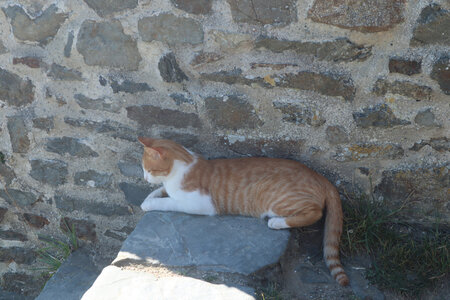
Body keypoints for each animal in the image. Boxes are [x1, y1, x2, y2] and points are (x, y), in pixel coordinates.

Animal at [139, 137, 350, 284]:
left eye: (149, 169)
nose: (144, 178)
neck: (182, 166)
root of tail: (319, 176)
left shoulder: (200, 204)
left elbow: (168, 202)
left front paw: (149, 203)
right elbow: (161, 191)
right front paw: (150, 196)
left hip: (276, 199)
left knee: (315, 213)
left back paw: (277, 222)